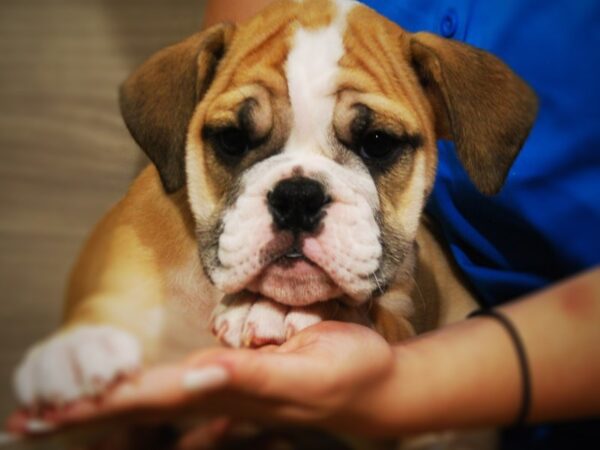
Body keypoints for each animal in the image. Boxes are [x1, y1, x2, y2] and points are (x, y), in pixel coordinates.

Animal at [11, 0, 536, 414]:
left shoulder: (403, 316)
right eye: (232, 139)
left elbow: (373, 314)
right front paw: (81, 345)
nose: (298, 196)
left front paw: (276, 309)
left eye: (378, 144)